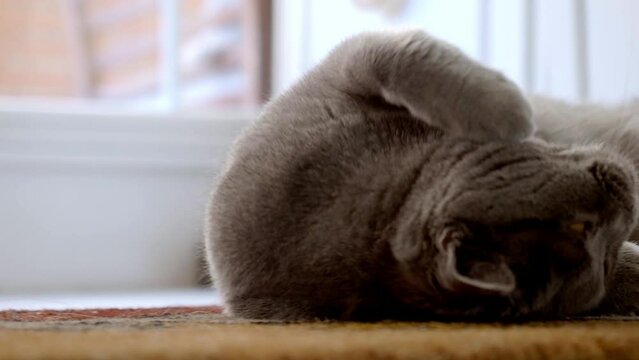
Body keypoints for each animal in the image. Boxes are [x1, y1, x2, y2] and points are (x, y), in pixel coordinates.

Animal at [205, 29, 639, 320]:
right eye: (584, 228)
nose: (625, 195)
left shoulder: (343, 68)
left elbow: (401, 58)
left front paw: (507, 109)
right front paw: (514, 112)